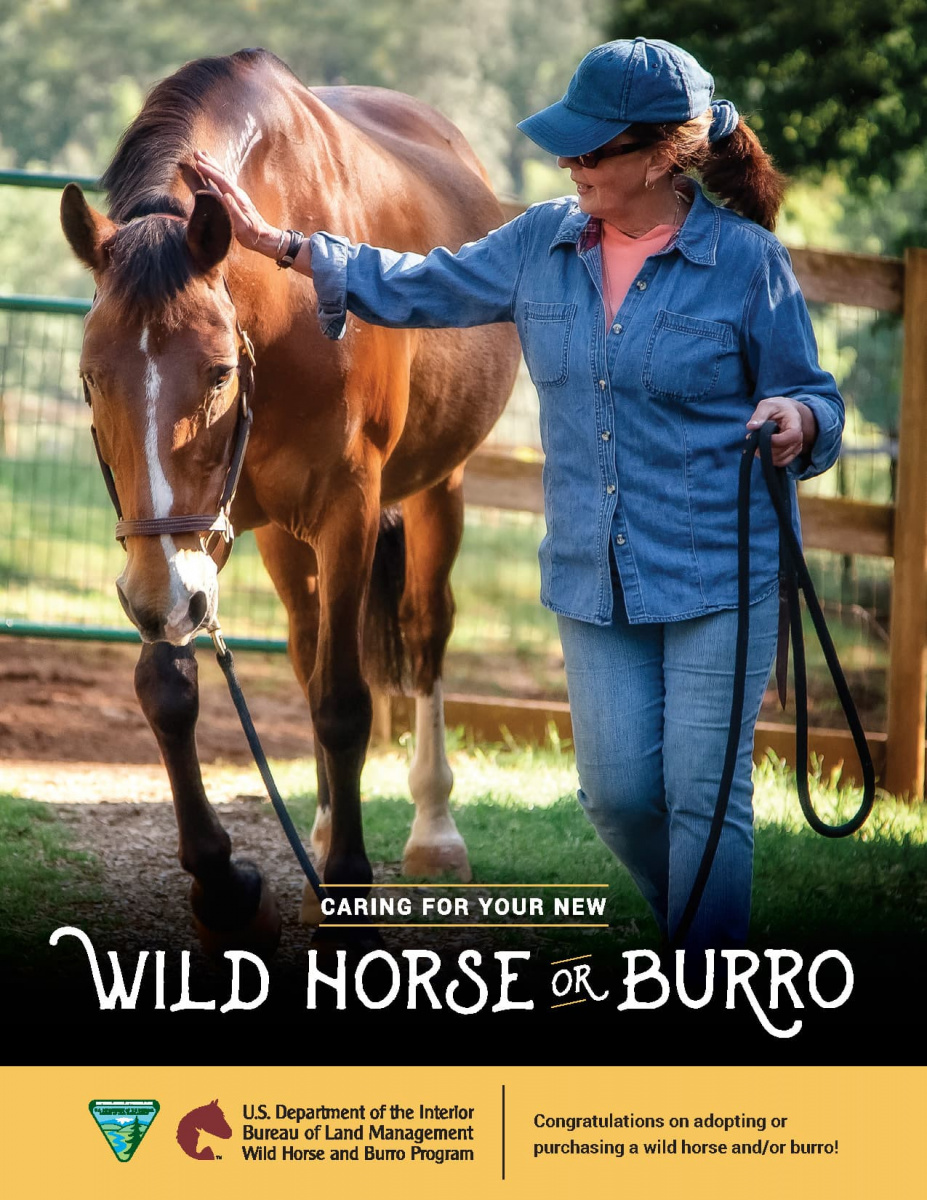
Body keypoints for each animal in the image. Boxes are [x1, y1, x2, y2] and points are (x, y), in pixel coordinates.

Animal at [59, 49, 521, 955]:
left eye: (217, 375)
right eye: (92, 379)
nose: (159, 596)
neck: (283, 315)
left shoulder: (344, 511)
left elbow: (344, 702)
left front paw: (347, 884)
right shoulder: (186, 543)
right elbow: (169, 685)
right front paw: (226, 888)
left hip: (434, 492)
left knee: (423, 635)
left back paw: (432, 832)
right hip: (276, 539)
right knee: (307, 650)